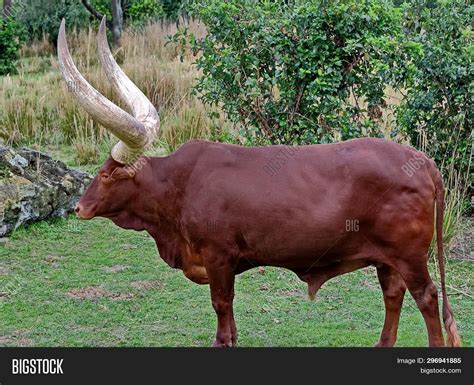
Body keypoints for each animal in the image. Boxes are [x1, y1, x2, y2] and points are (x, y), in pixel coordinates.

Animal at [57, 18, 462, 346]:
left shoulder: (218, 254)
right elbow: (229, 309)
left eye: (106, 174)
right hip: (386, 258)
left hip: (410, 256)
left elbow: (221, 305)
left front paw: (222, 341)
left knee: (426, 298)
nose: (79, 207)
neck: (178, 186)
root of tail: (423, 162)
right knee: (393, 294)